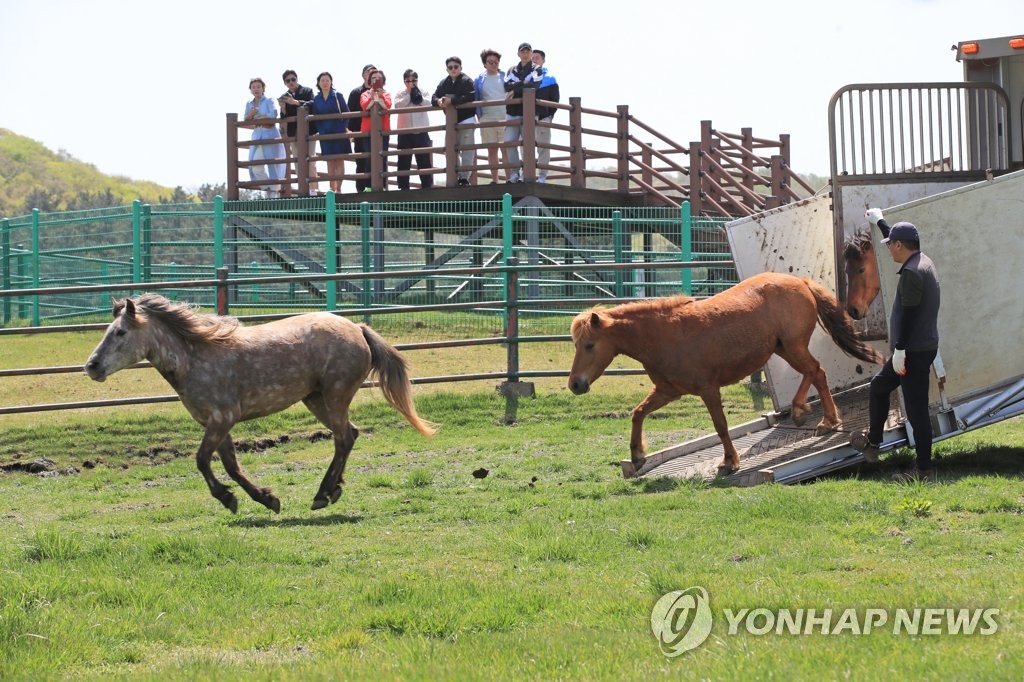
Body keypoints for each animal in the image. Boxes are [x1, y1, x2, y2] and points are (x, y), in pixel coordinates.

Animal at [84, 294, 436, 512]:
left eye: (120, 332)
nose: (92, 366)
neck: (194, 357)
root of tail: (358, 329)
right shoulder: (216, 423)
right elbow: (230, 465)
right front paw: (264, 499)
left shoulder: (222, 418)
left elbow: (202, 460)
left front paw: (229, 498)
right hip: (316, 399)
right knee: (350, 435)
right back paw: (334, 489)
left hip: (335, 395)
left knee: (343, 438)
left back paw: (322, 495)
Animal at [569, 270, 880, 473]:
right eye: (576, 344)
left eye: (589, 345)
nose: (575, 385)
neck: (665, 335)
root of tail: (799, 282)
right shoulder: (668, 391)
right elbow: (638, 413)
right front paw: (637, 455)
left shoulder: (708, 389)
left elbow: (720, 425)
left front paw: (729, 461)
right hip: (783, 348)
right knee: (816, 373)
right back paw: (819, 417)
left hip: (793, 347)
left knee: (815, 371)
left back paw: (811, 415)